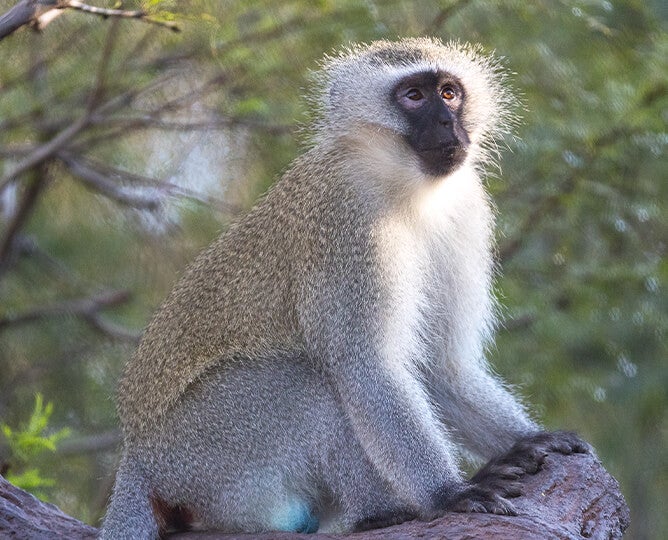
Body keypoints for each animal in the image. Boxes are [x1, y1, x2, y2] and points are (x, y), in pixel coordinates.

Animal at [102, 35, 588, 536]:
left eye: (450, 93)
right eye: (414, 96)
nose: (447, 123)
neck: (404, 186)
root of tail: (138, 458)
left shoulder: (464, 207)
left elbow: (440, 365)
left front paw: (526, 441)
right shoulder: (347, 222)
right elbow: (365, 366)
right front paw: (449, 494)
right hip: (206, 452)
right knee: (309, 382)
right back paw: (379, 513)